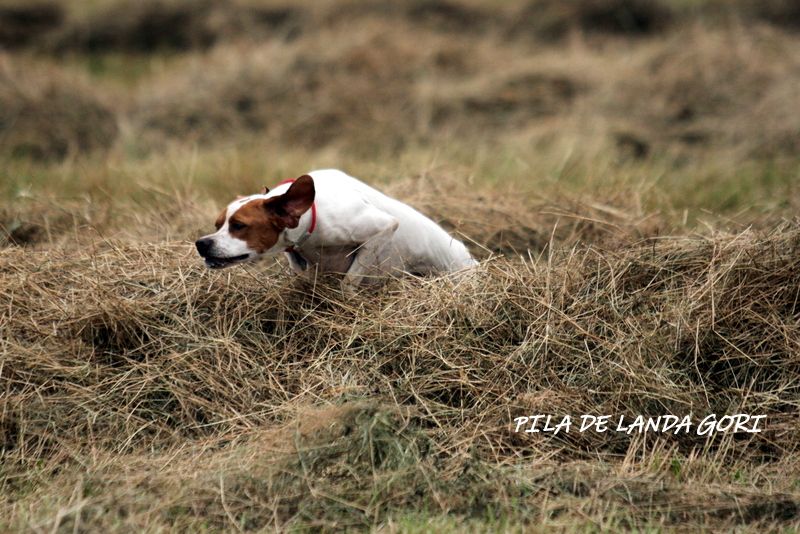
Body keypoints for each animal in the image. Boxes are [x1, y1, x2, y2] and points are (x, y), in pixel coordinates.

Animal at [195, 171, 478, 288]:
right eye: (217, 224)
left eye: (239, 226)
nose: (201, 243)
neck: (311, 212)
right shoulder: (296, 257)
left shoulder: (381, 228)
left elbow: (349, 280)